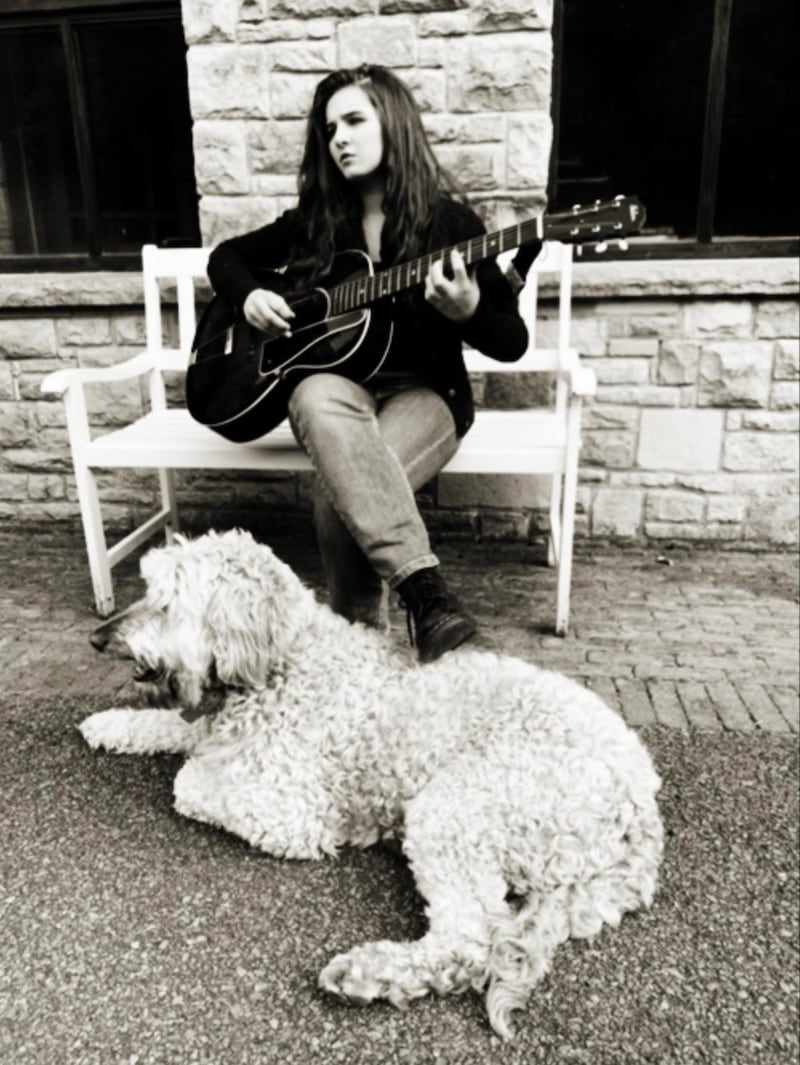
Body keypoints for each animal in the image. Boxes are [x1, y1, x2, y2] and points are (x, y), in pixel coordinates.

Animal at [83, 528, 664, 1035]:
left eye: (167, 602)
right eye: (149, 588)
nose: (97, 637)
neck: (283, 659)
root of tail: (642, 812)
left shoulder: (293, 814)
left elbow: (187, 783)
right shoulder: (214, 726)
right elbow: (175, 729)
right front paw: (110, 724)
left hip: (454, 809)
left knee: (470, 941)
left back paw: (368, 973)